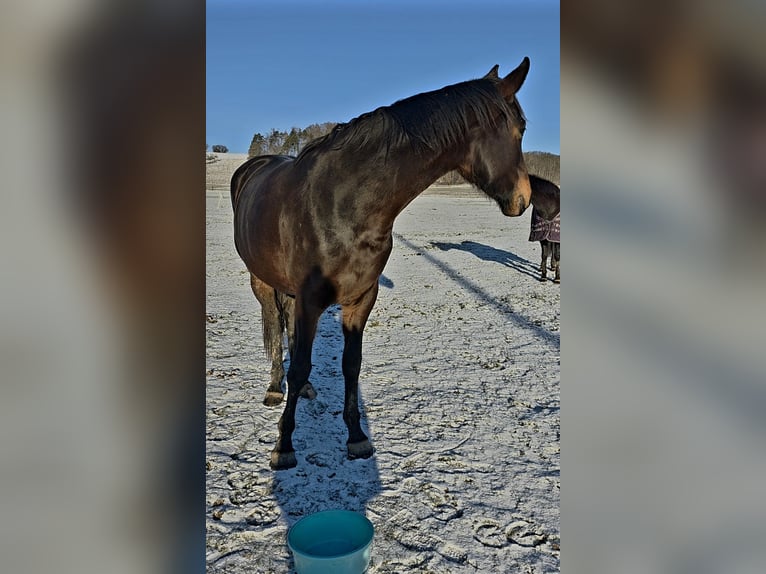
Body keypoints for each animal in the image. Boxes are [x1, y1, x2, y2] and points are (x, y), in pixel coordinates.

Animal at [231, 58, 533, 470]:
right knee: (277, 327)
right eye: (519, 130)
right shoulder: (310, 300)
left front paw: (357, 436)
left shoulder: (361, 299)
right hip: (261, 280)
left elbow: (351, 364)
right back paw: (276, 388)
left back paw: (303, 389)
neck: (344, 204)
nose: (524, 198)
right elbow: (301, 362)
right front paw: (284, 445)